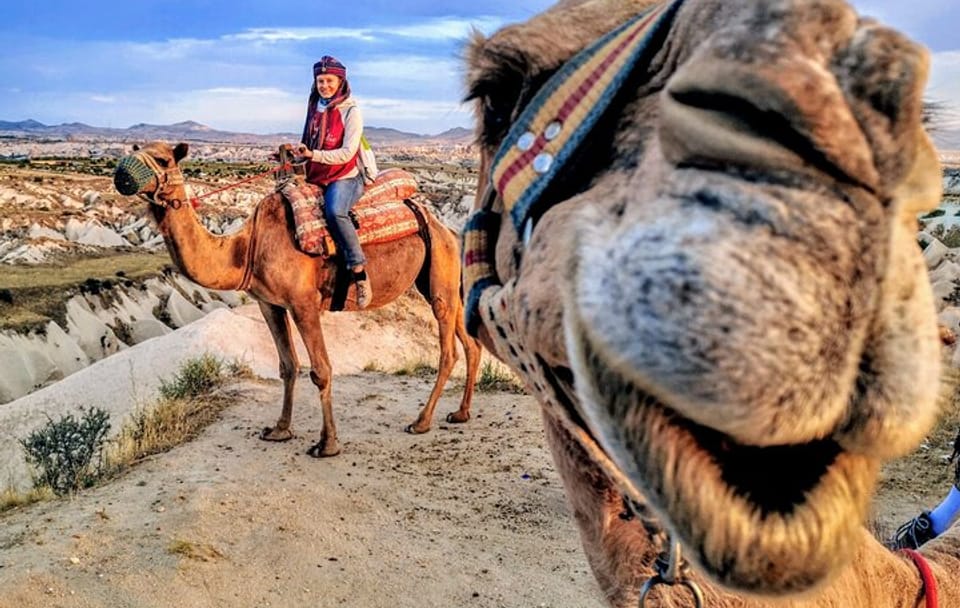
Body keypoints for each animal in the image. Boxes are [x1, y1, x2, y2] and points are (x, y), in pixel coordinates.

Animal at [113, 142, 481, 457]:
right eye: (135, 149)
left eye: (163, 160)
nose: (122, 173)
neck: (246, 248)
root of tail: (448, 229)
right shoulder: (270, 303)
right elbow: (287, 366)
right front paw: (279, 429)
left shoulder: (304, 304)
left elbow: (321, 369)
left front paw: (327, 444)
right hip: (439, 280)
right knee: (470, 342)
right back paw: (460, 413)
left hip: (440, 274)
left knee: (448, 350)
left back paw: (421, 421)